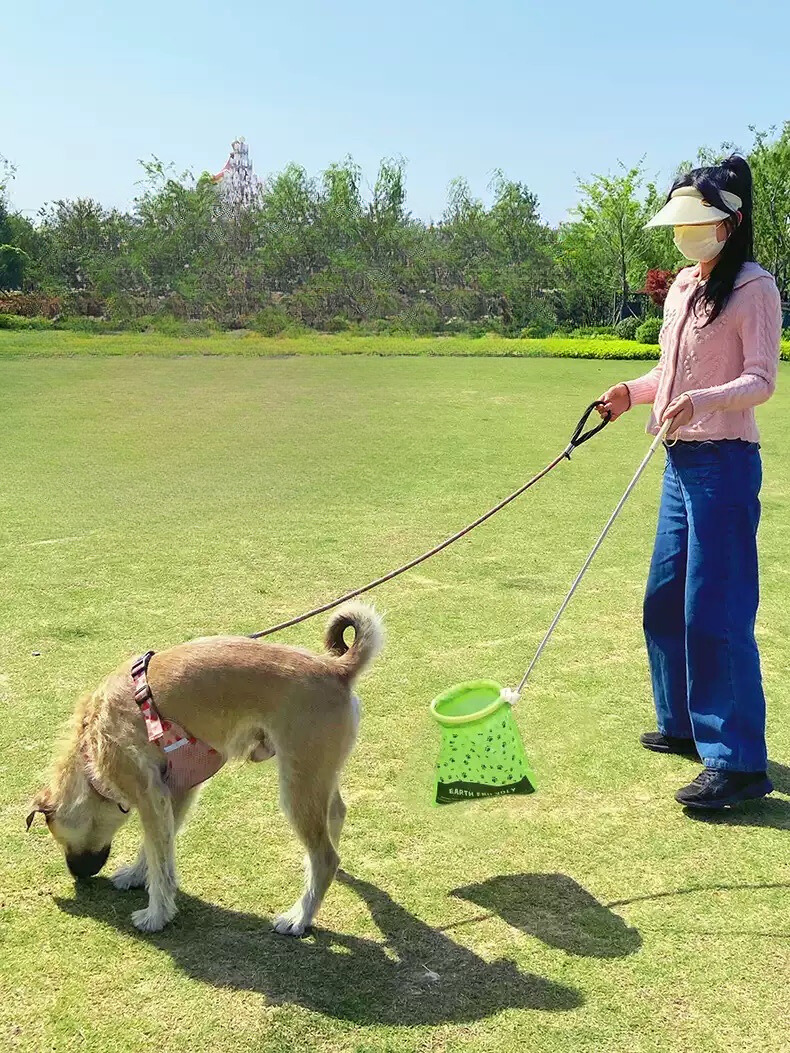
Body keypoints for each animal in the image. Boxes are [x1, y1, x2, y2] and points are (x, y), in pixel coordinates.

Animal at [25, 606, 383, 935]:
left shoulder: (149, 793)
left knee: (326, 857)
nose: (78, 875)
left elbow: (160, 859)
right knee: (335, 814)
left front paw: (156, 915)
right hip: (318, 774)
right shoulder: (176, 790)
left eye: (59, 838)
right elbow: (157, 848)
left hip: (298, 785)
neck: (90, 749)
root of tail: (335, 668)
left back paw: (300, 916)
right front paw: (137, 876)